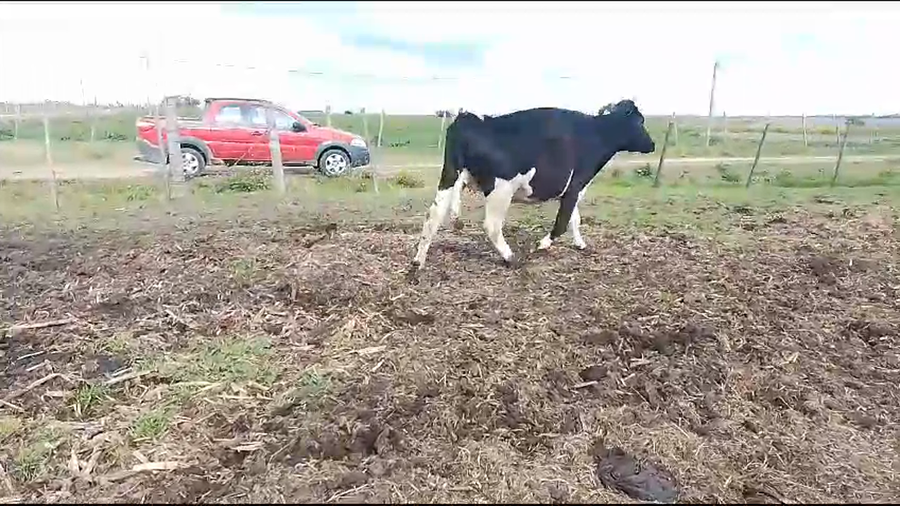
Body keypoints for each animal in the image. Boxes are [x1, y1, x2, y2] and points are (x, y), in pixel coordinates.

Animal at [411, 99, 655, 270]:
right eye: (640, 121)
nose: (652, 144)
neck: (597, 135)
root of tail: (470, 119)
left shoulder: (574, 189)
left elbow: (574, 218)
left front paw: (580, 244)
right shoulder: (576, 184)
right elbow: (563, 221)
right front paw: (543, 244)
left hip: (450, 176)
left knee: (433, 216)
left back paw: (418, 261)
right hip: (501, 189)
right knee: (491, 225)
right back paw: (511, 257)